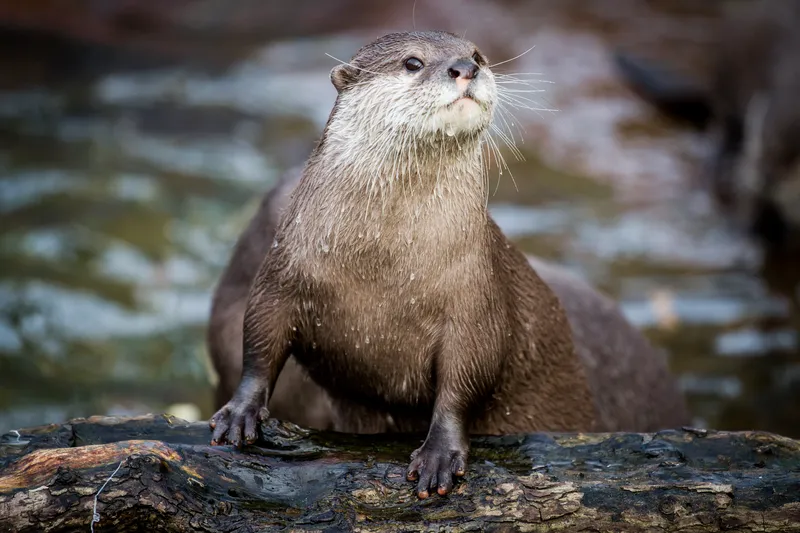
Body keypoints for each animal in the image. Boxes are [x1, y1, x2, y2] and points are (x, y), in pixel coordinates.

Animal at [209, 31, 688, 499]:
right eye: (412, 62)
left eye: (478, 54)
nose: (466, 68)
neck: (384, 267)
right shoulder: (284, 267)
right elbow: (259, 341)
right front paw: (239, 413)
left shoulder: (476, 295)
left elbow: (466, 377)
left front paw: (439, 455)